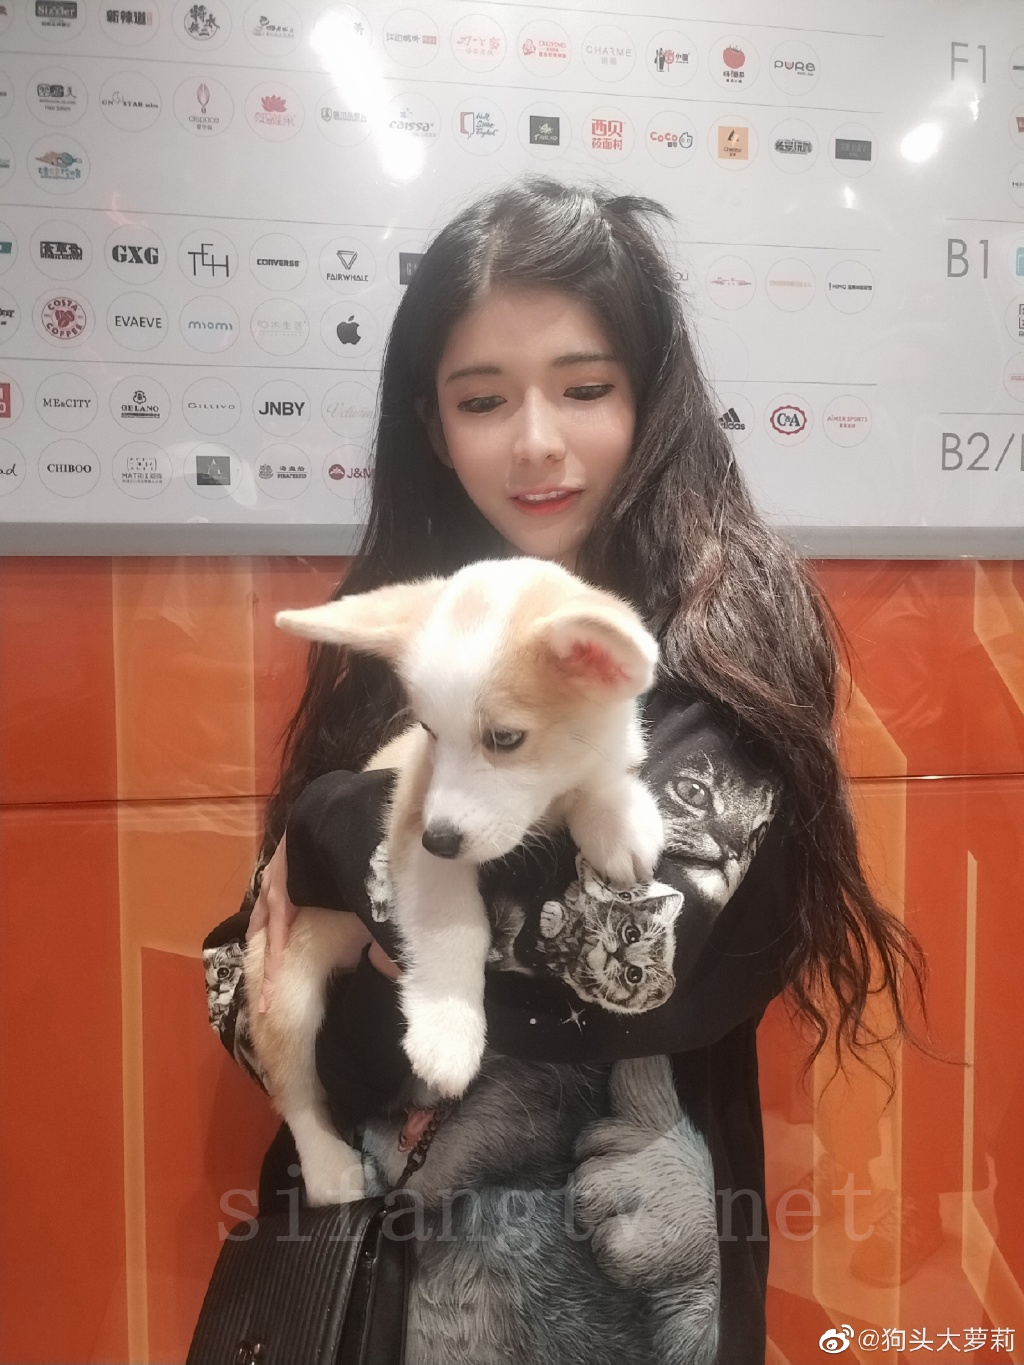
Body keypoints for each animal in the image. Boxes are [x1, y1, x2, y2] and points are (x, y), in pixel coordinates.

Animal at [245, 557, 664, 1204]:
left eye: (505, 738)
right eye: (428, 728)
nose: (439, 839)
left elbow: (596, 781)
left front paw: (617, 819)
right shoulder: (410, 832)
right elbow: (455, 931)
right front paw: (447, 1031)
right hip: (285, 988)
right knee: (295, 1089)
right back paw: (328, 1169)